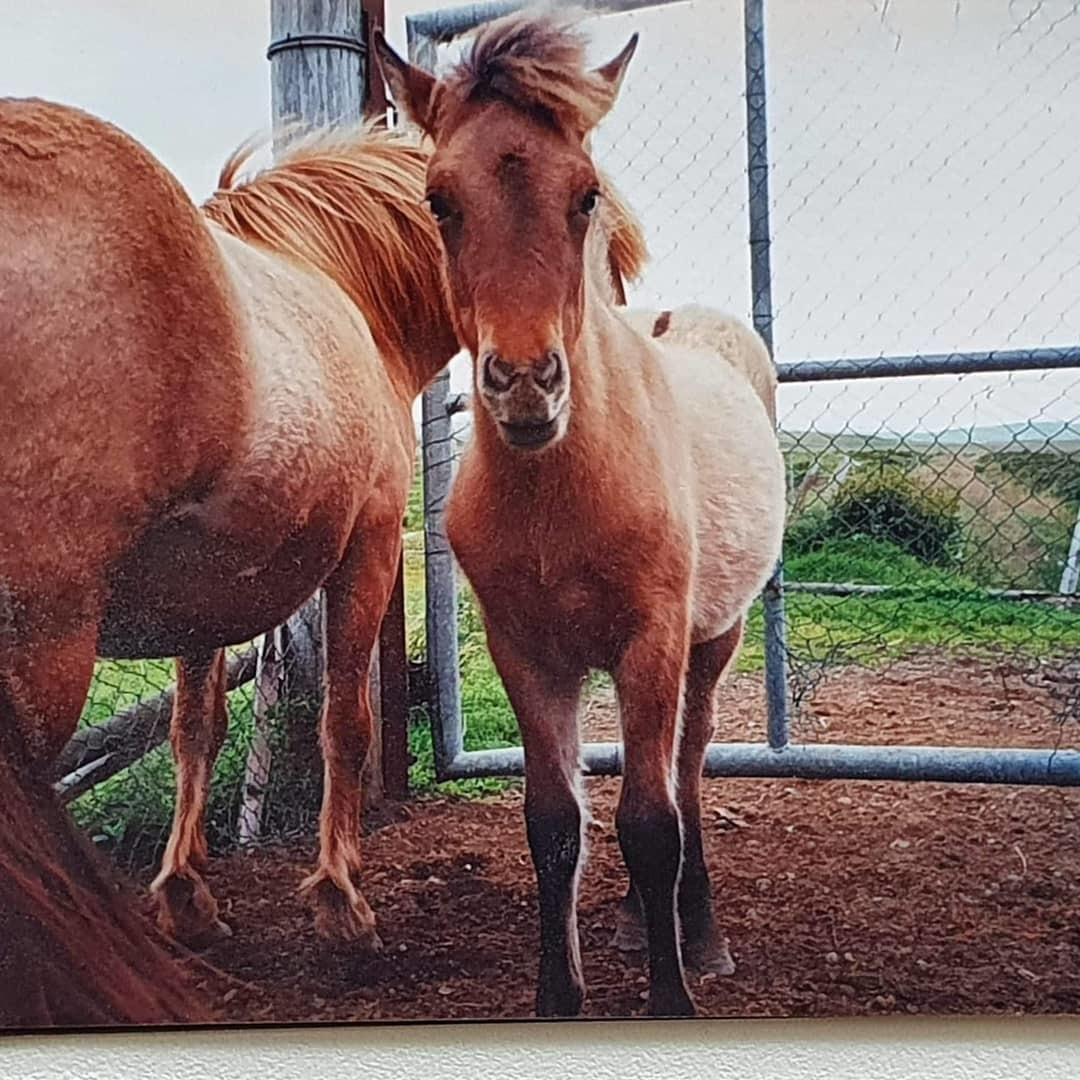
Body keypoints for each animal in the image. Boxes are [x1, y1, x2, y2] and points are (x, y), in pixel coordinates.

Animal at [0, 99, 460, 946]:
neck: (346, 286)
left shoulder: (198, 595)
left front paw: (186, 893)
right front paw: (340, 896)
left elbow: (196, 729)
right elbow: (346, 721)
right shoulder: (373, 547)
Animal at [378, 12, 786, 1015]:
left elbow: (649, 821)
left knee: (686, 765)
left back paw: (698, 932)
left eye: (586, 193)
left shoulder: (652, 640)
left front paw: (673, 998)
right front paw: (558, 998)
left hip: (713, 640)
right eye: (440, 200)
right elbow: (554, 822)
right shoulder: (528, 652)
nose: (526, 385)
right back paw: (643, 921)